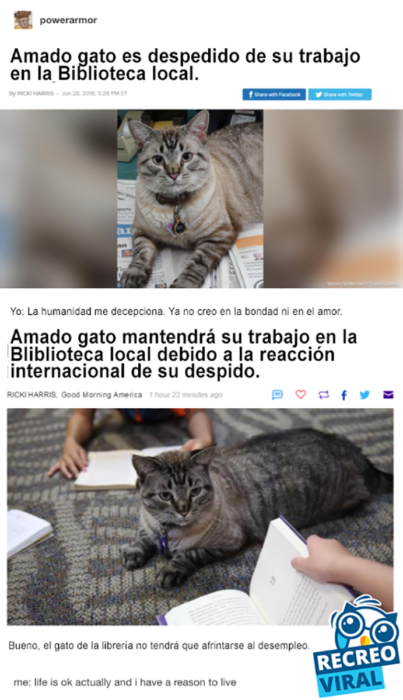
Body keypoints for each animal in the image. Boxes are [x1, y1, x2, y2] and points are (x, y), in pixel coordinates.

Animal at [120, 112, 264, 288]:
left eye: (187, 157)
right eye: (158, 160)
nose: (173, 173)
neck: (175, 206)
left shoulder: (218, 235)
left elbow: (196, 265)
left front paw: (182, 284)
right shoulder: (141, 231)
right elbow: (140, 254)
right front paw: (133, 275)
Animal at [124, 430, 394, 588]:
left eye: (195, 491)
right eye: (165, 495)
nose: (183, 509)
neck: (168, 533)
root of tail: (349, 445)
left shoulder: (227, 543)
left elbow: (188, 556)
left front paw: (169, 571)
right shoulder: (148, 526)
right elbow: (141, 540)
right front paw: (133, 556)